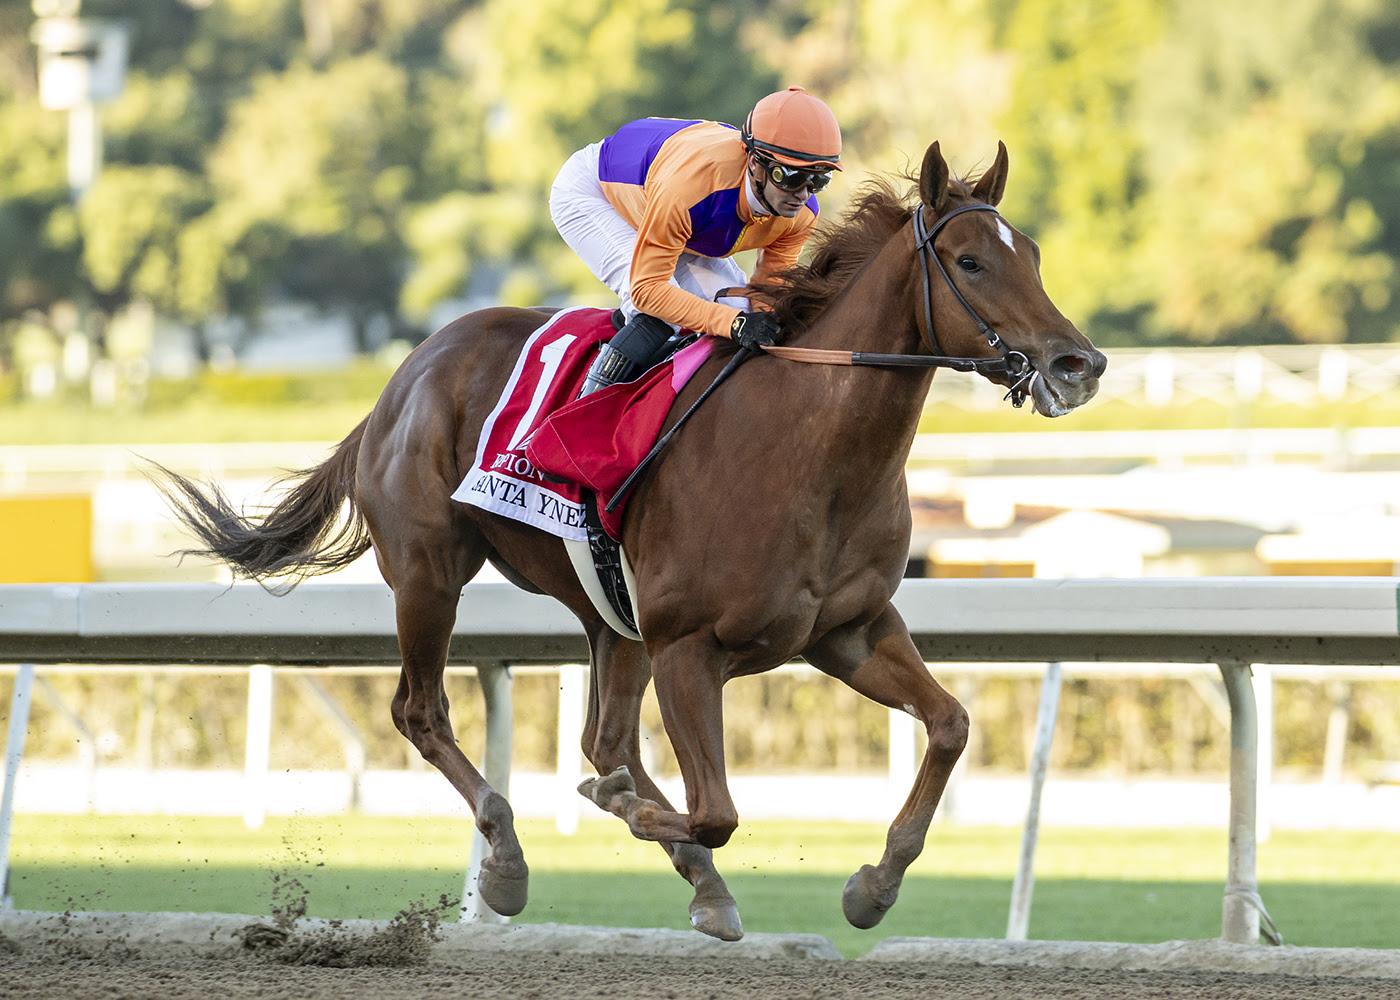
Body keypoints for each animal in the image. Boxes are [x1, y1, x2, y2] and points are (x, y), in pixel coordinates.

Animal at [154, 140, 1106, 942]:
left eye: (1035, 256)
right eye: (972, 260)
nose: (1080, 365)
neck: (811, 453)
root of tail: (403, 376)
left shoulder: (848, 631)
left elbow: (949, 725)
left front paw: (871, 887)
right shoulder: (690, 645)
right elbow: (715, 809)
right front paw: (640, 819)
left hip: (611, 614)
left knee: (605, 739)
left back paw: (690, 878)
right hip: (430, 575)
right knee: (423, 712)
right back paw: (508, 858)